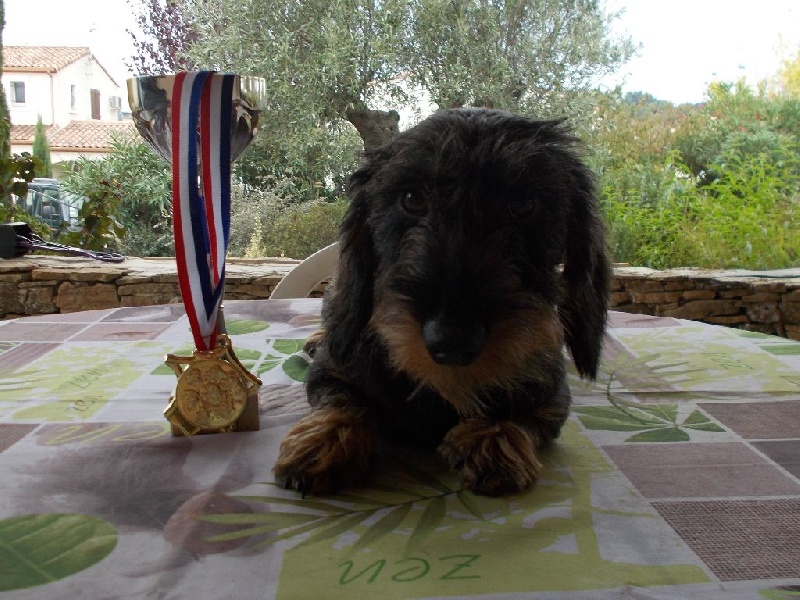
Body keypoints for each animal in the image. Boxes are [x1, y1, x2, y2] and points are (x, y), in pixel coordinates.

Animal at [273, 108, 611, 496]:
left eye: (524, 204)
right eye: (412, 198)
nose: (452, 341)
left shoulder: (553, 400)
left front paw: (493, 436)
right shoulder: (333, 371)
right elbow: (344, 399)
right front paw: (324, 441)